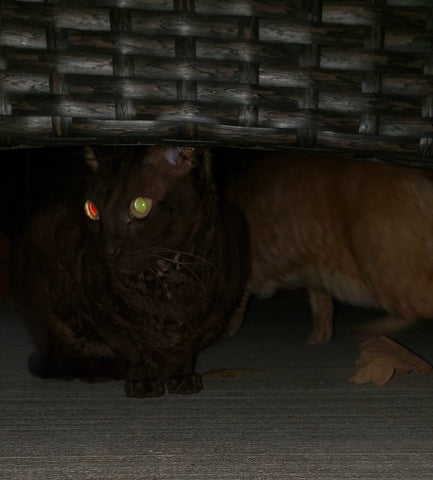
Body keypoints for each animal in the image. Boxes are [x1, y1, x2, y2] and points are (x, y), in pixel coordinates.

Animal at [8, 146, 248, 398]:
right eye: (92, 210)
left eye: (140, 206)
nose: (106, 250)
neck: (167, 280)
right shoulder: (106, 316)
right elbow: (135, 346)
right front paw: (144, 379)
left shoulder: (215, 316)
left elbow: (188, 348)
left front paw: (182, 375)